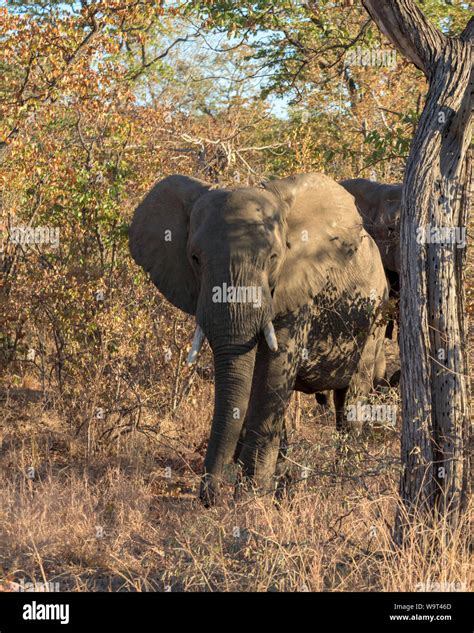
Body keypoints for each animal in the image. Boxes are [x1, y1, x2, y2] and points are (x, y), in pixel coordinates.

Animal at [130, 172, 388, 504]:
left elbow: (271, 375)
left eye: (274, 258)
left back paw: (344, 484)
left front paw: (250, 497)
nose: (209, 497)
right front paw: (258, 493)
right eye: (195, 258)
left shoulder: (298, 288)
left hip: (374, 312)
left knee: (351, 398)